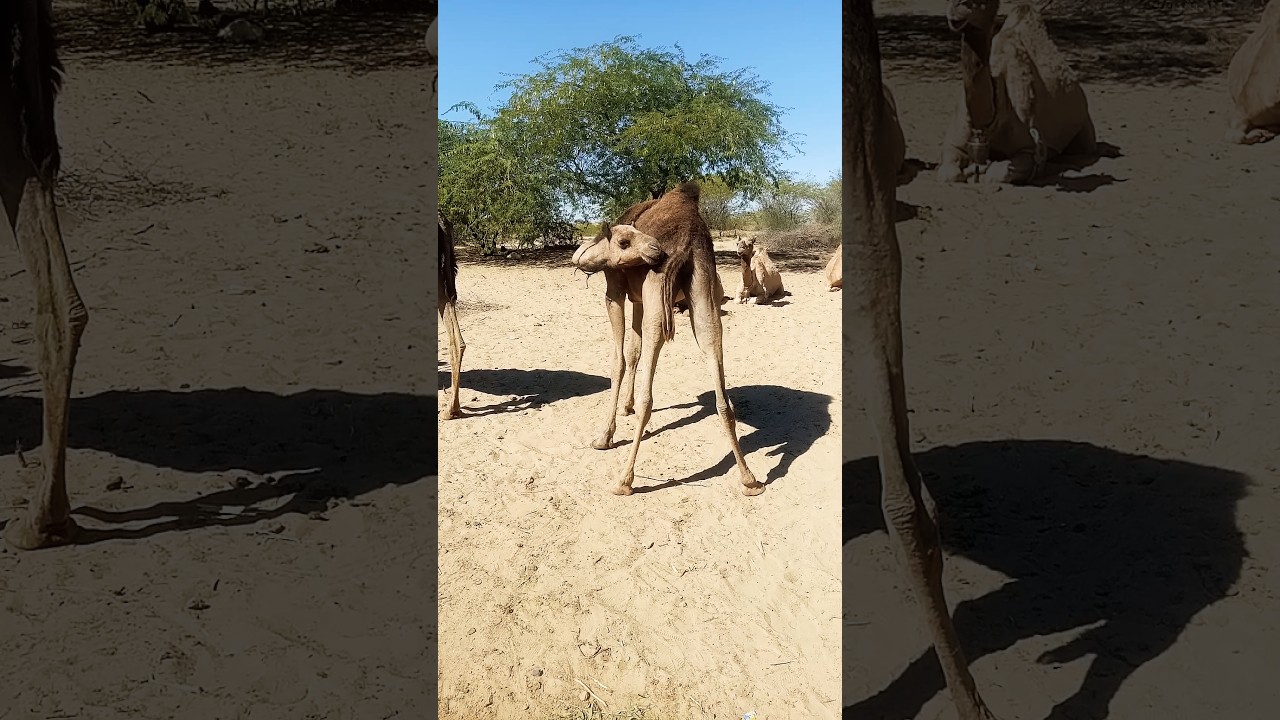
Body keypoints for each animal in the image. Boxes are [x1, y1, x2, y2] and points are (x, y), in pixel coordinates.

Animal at [571, 182, 762, 496]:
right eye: (625, 241)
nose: (655, 250)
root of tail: (686, 241)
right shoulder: (638, 299)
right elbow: (633, 352)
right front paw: (625, 406)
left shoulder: (615, 291)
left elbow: (619, 360)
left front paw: (604, 436)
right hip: (703, 287)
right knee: (714, 353)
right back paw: (749, 479)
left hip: (658, 289)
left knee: (650, 385)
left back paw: (624, 480)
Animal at [938, 0, 1096, 185]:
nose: (956, 8)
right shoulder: (953, 143)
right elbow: (949, 173)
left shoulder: (1032, 149)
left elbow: (998, 172)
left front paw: (982, 168)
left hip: (1085, 129)